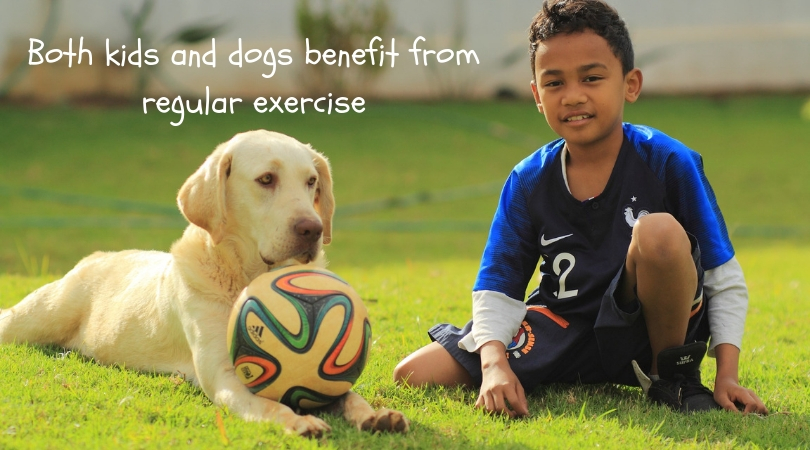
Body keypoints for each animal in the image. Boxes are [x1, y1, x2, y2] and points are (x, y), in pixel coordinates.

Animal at [0, 129, 408, 436]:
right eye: (266, 179)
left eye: (311, 182)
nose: (313, 229)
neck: (245, 277)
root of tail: (97, 256)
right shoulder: (225, 375)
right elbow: (267, 404)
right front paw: (298, 421)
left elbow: (349, 394)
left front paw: (373, 414)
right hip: (33, 318)